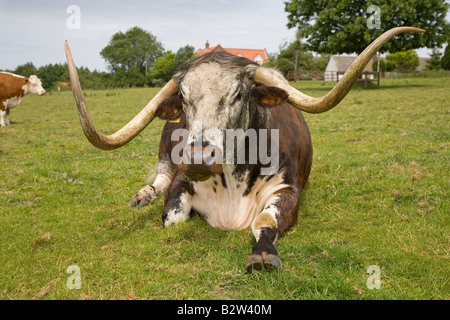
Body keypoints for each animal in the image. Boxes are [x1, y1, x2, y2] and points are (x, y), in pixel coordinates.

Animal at [64, 26, 426, 270]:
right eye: (184, 97)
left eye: (239, 94)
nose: (198, 157)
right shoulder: (182, 181)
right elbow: (172, 216)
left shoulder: (288, 190)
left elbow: (265, 221)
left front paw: (263, 255)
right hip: (167, 147)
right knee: (161, 175)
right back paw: (144, 195)